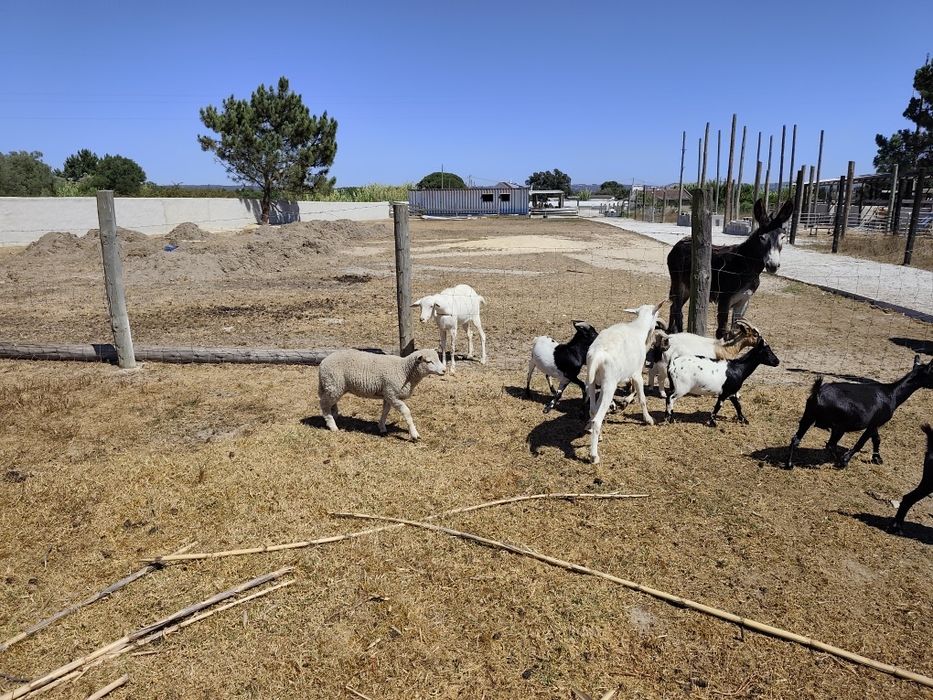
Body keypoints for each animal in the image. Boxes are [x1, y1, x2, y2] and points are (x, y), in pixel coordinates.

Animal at [585, 302, 665, 464]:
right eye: (657, 314)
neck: (637, 328)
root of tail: (596, 355)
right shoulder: (637, 373)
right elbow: (642, 399)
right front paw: (648, 419)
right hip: (609, 384)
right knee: (597, 419)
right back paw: (594, 456)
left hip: (593, 382)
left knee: (593, 411)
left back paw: (599, 437)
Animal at [667, 199, 793, 339]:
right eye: (762, 237)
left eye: (783, 237)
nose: (773, 266)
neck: (746, 265)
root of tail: (679, 243)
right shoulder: (724, 300)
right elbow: (722, 332)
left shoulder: (743, 301)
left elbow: (735, 331)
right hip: (678, 283)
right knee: (677, 309)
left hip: (688, 288)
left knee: (673, 307)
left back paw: (670, 331)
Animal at [784, 355, 933, 469]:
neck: (892, 393)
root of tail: (818, 393)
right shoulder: (874, 423)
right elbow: (861, 442)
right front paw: (846, 459)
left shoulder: (874, 423)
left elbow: (877, 439)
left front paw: (877, 459)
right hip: (839, 426)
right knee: (831, 445)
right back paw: (840, 462)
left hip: (808, 416)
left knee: (796, 439)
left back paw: (789, 464)